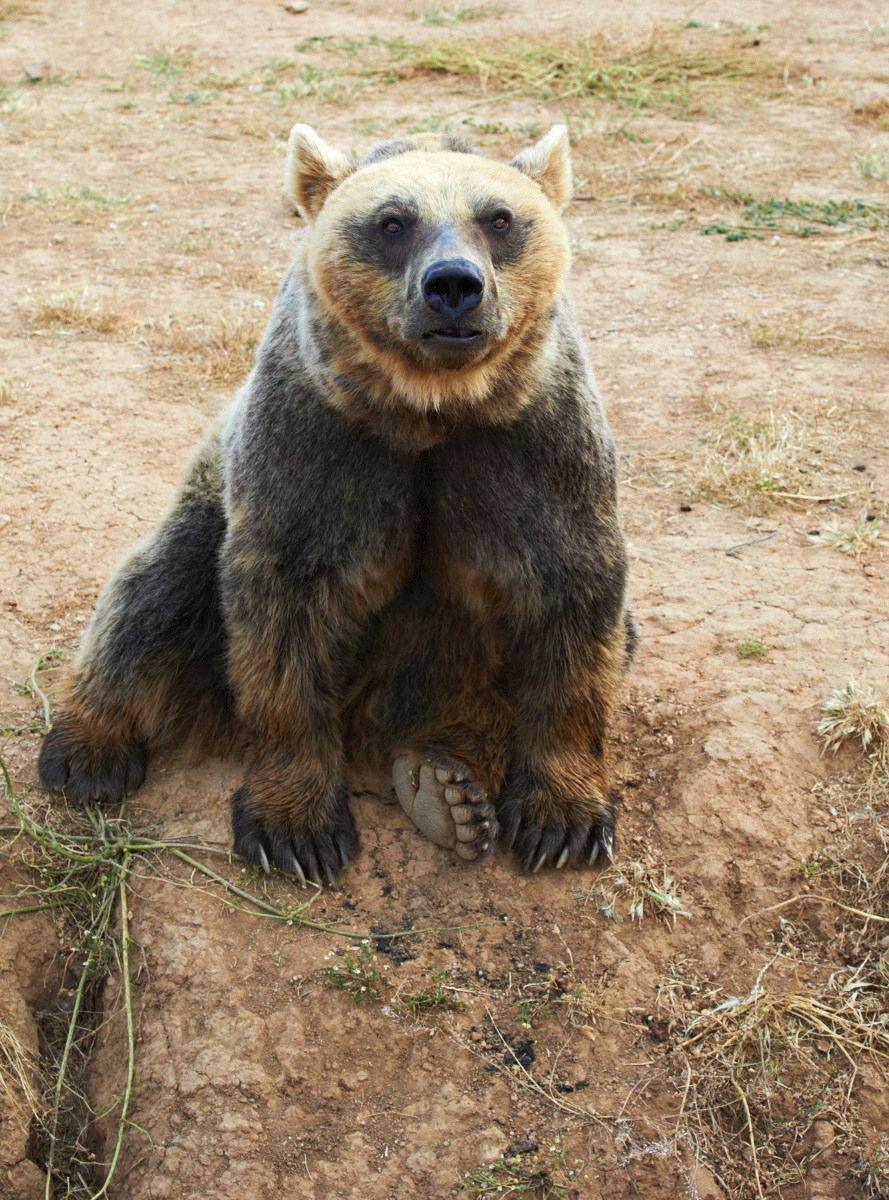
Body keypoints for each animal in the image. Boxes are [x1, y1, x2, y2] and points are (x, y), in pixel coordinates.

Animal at [36, 126, 633, 888]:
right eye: (392, 222)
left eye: (498, 219)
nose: (453, 287)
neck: (428, 410)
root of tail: (372, 728)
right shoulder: (317, 444)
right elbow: (285, 620)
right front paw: (297, 828)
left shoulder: (531, 444)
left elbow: (571, 604)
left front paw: (563, 819)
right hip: (203, 515)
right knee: (151, 596)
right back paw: (87, 751)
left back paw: (447, 786)